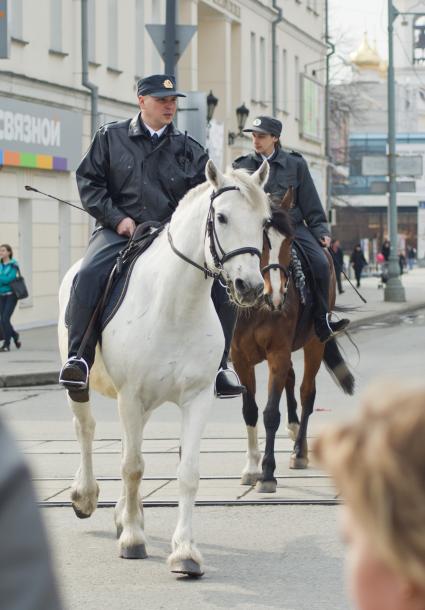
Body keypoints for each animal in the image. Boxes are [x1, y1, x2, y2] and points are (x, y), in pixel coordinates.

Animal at [58, 158, 270, 576]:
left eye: (265, 221)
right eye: (221, 216)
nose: (251, 287)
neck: (174, 305)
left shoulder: (197, 398)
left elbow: (185, 473)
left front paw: (185, 551)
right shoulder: (130, 396)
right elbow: (132, 466)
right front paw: (132, 539)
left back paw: (126, 513)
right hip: (85, 384)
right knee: (86, 430)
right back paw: (86, 496)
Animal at [230, 192, 352, 492]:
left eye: (288, 241)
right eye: (259, 239)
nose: (274, 294)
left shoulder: (278, 352)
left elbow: (270, 413)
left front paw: (267, 472)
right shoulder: (240, 358)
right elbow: (250, 410)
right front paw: (252, 468)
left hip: (314, 344)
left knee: (307, 392)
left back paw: (299, 451)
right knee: (292, 380)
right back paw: (295, 431)